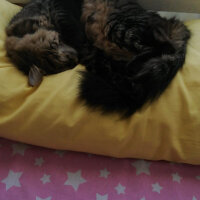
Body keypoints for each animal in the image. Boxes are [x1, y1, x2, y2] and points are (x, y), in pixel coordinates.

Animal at [5, 0, 191, 116]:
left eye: (55, 42)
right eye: (64, 67)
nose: (74, 57)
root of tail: (173, 23)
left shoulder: (63, 12)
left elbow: (74, 30)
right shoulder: (92, 56)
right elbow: (102, 65)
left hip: (119, 28)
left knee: (165, 47)